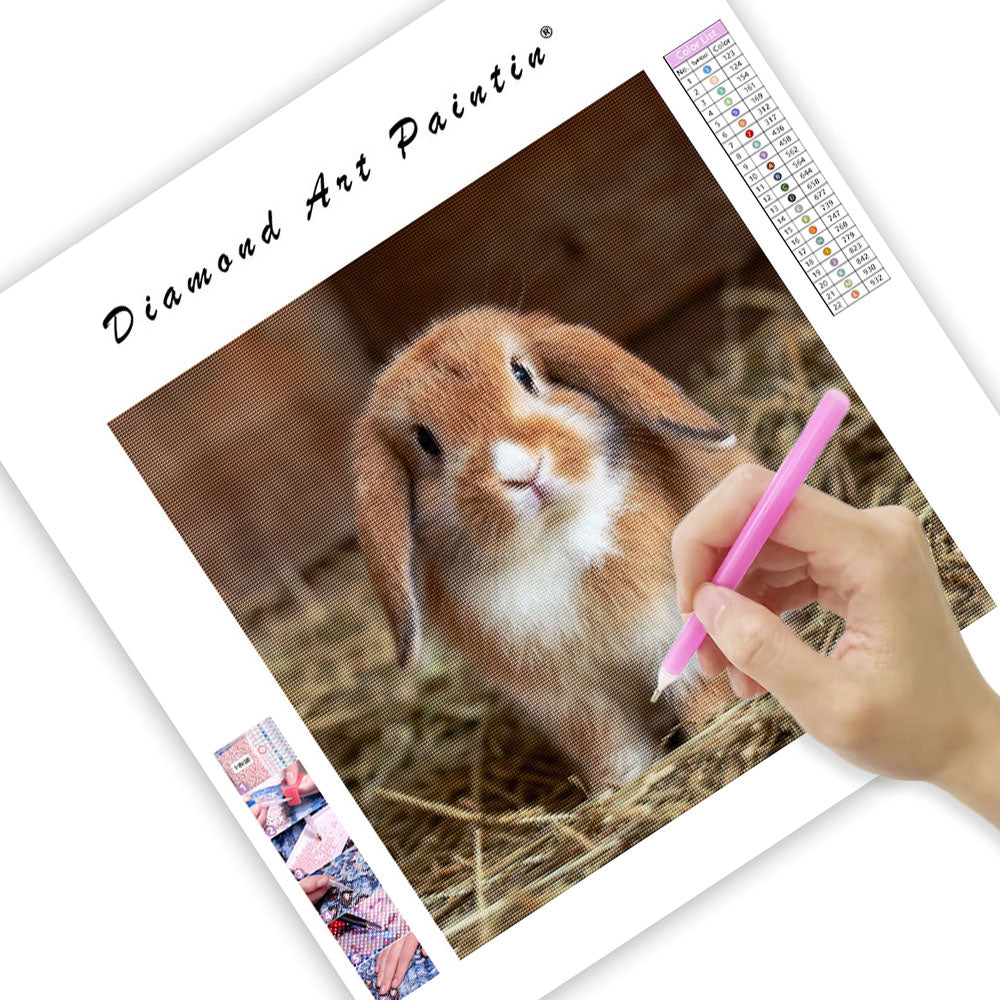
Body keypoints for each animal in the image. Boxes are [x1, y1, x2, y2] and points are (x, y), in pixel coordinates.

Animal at [352, 306, 753, 792]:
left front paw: (715, 721)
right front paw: (618, 786)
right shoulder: (569, 701)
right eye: (426, 441)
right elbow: (609, 744)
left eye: (522, 373)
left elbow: (694, 687)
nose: (524, 471)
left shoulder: (669, 632)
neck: (551, 536)